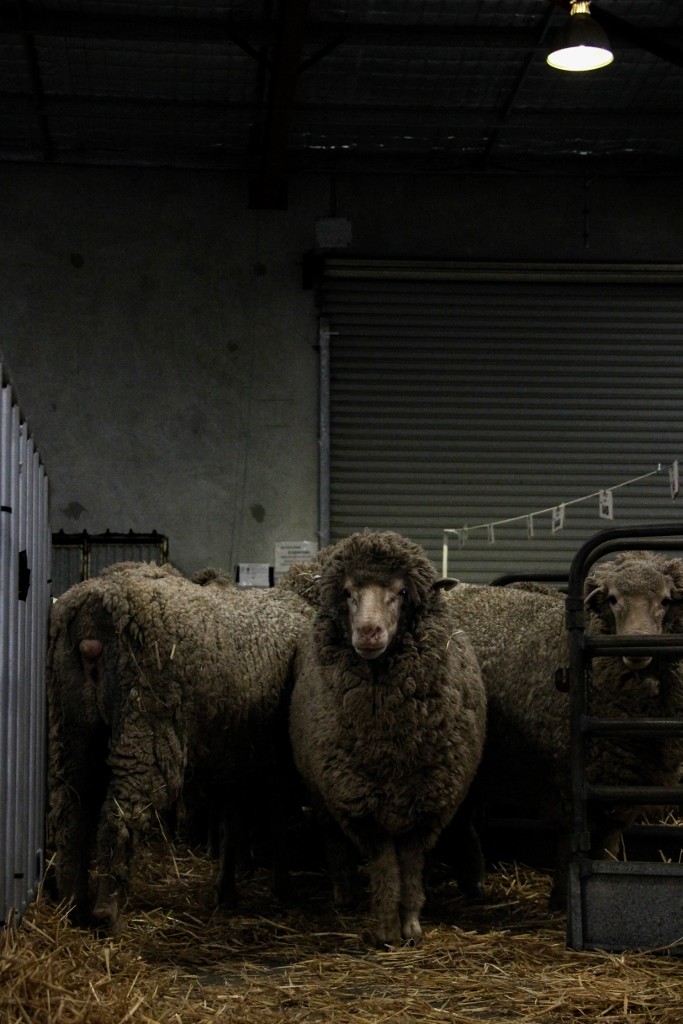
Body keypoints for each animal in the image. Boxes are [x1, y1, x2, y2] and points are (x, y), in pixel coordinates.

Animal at [47, 560, 314, 932]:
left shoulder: (232, 755)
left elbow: (233, 819)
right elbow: (275, 818)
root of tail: (94, 610)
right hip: (146, 722)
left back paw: (71, 903)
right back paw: (107, 909)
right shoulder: (278, 761)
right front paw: (281, 887)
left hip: (72, 723)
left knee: (72, 806)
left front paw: (226, 889)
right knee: (120, 814)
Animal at [288, 529, 487, 948]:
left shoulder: (426, 804)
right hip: (322, 791)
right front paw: (385, 928)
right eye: (348, 592)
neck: (389, 743)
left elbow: (409, 867)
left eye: (402, 592)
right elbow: (383, 868)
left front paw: (410, 924)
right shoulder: (361, 805)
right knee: (333, 843)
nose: (367, 632)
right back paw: (343, 893)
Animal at [444, 550, 683, 906]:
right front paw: (562, 897)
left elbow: (607, 845)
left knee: (461, 821)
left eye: (666, 601)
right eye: (612, 599)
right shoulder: (570, 780)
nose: (637, 646)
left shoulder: (619, 789)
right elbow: (569, 842)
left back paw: (472, 884)